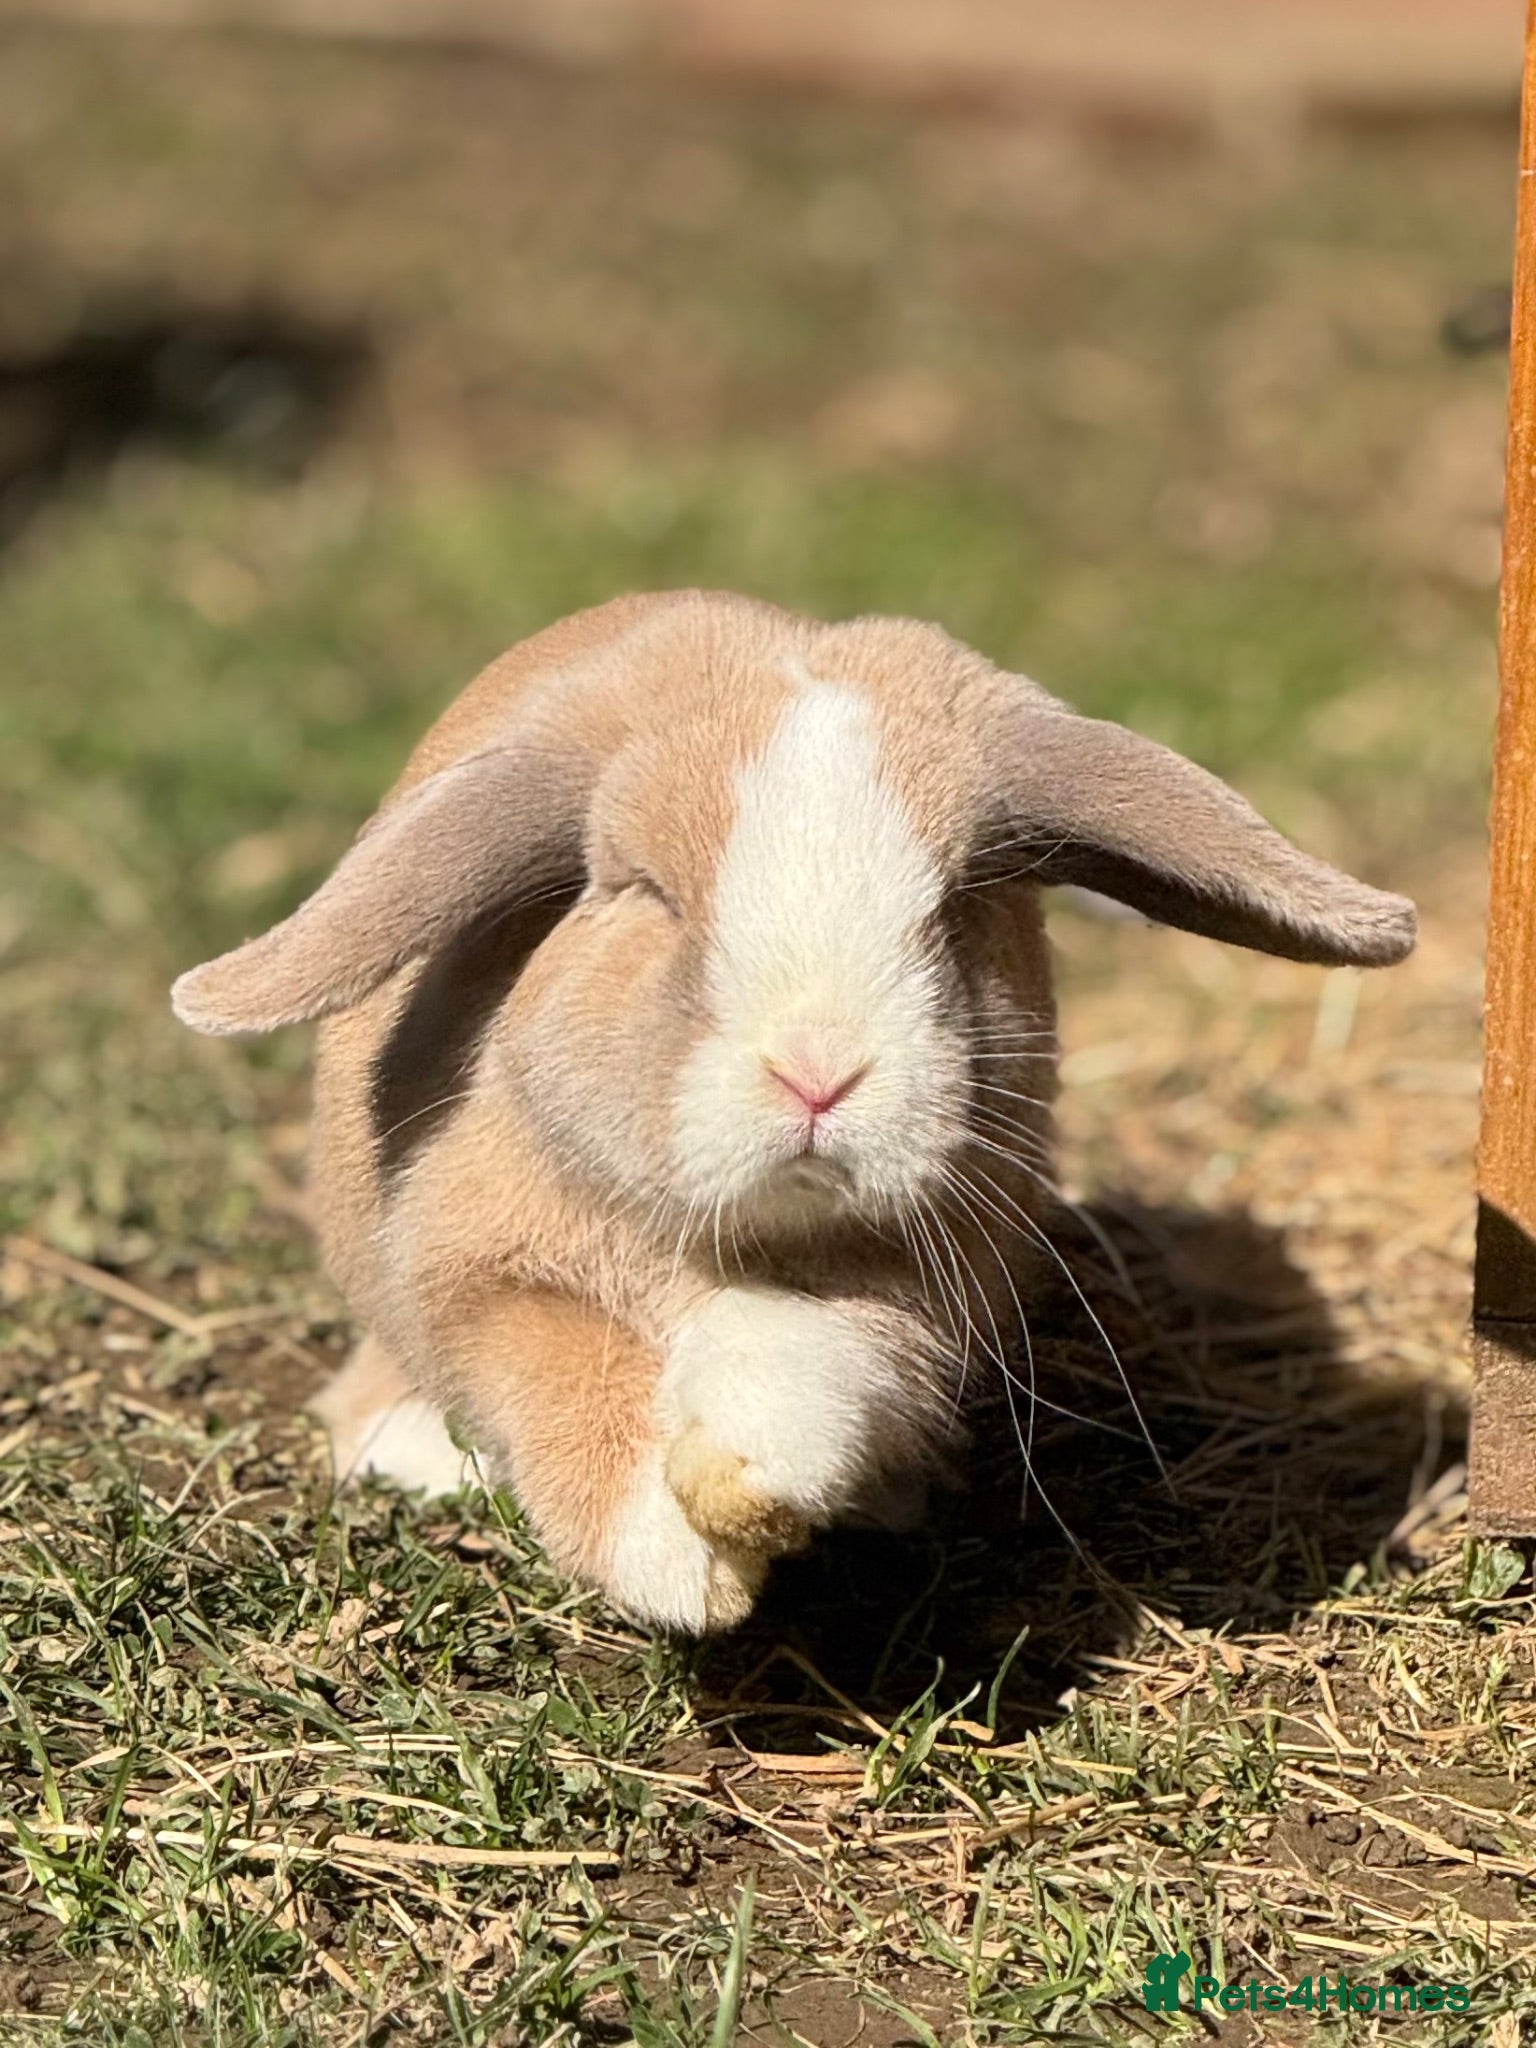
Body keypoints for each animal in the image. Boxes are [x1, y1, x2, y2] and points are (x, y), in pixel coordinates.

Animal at [172, 590, 1416, 1632]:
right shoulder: (478, 1272)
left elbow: (810, 1358)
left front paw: (752, 1481)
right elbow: (564, 1374)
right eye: (643, 892)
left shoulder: (914, 1285)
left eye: (961, 902)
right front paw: (681, 1557)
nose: (820, 1072)